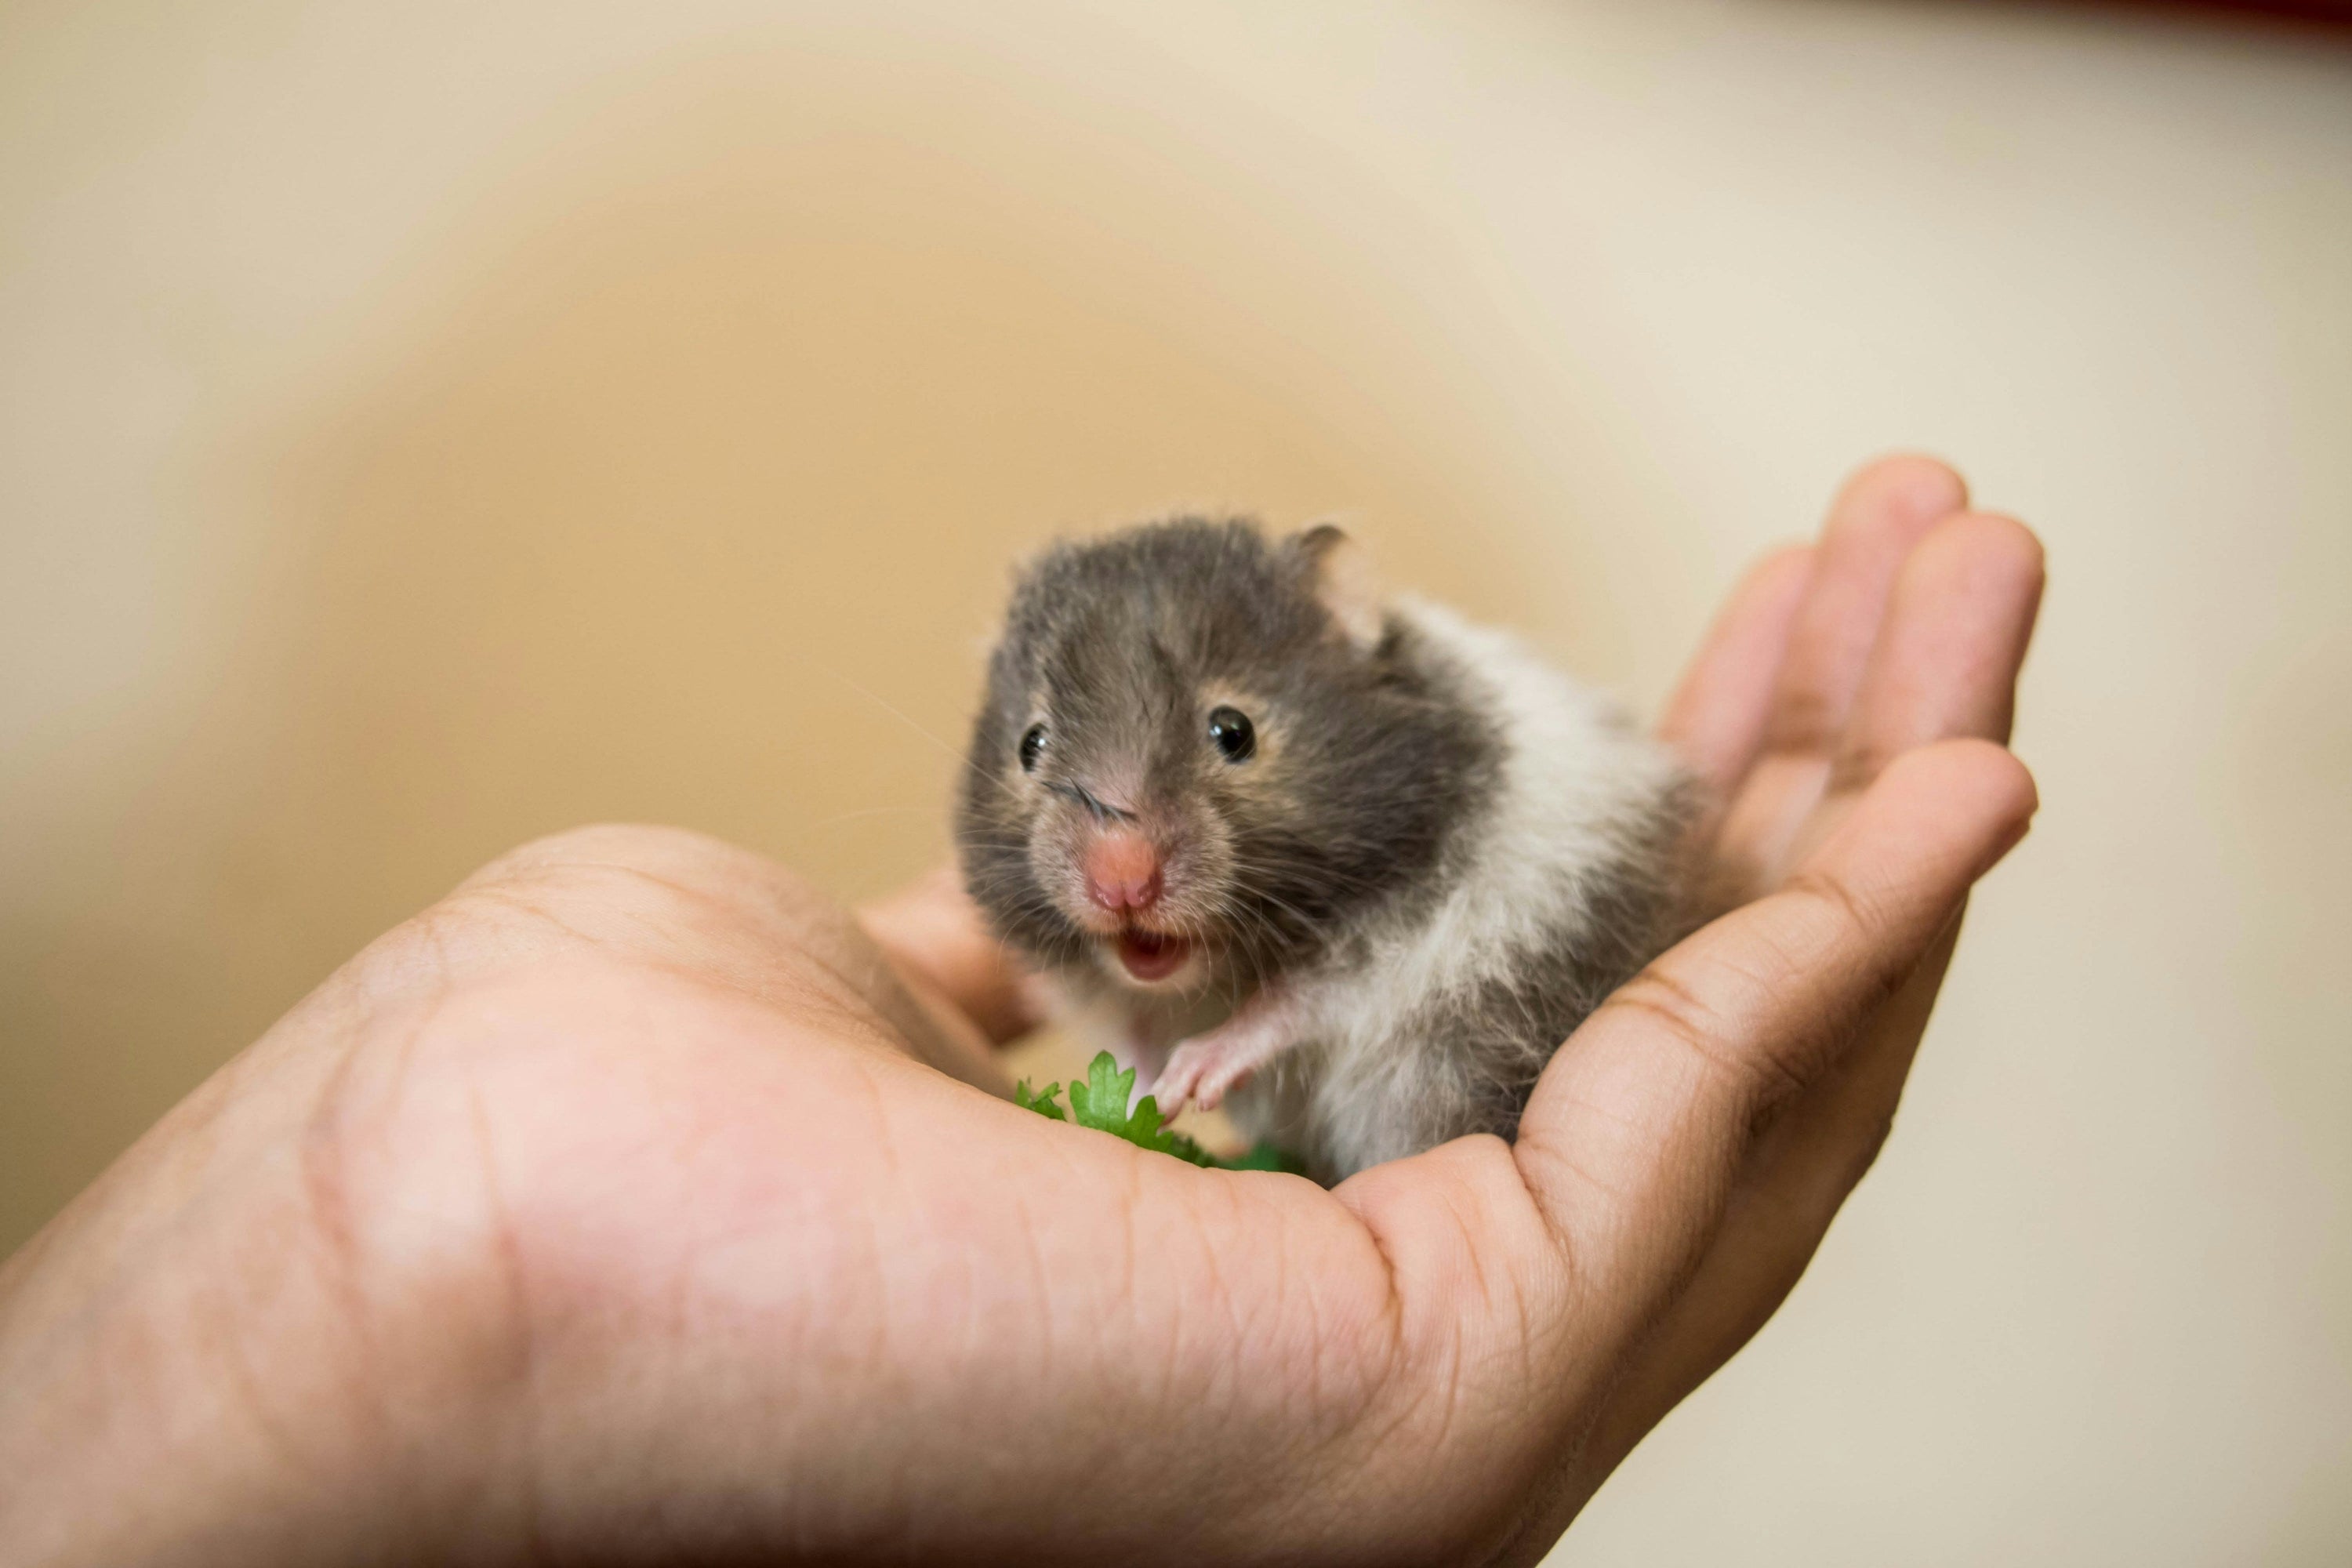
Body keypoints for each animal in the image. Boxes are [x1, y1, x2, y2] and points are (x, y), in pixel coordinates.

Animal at [957, 516, 1695, 1183]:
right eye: (1030, 745)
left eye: (1234, 732)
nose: (1120, 884)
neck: (1214, 976)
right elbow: (1130, 1036)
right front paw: (1146, 1095)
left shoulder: (1406, 935)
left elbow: (1295, 1002)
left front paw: (1191, 1075)